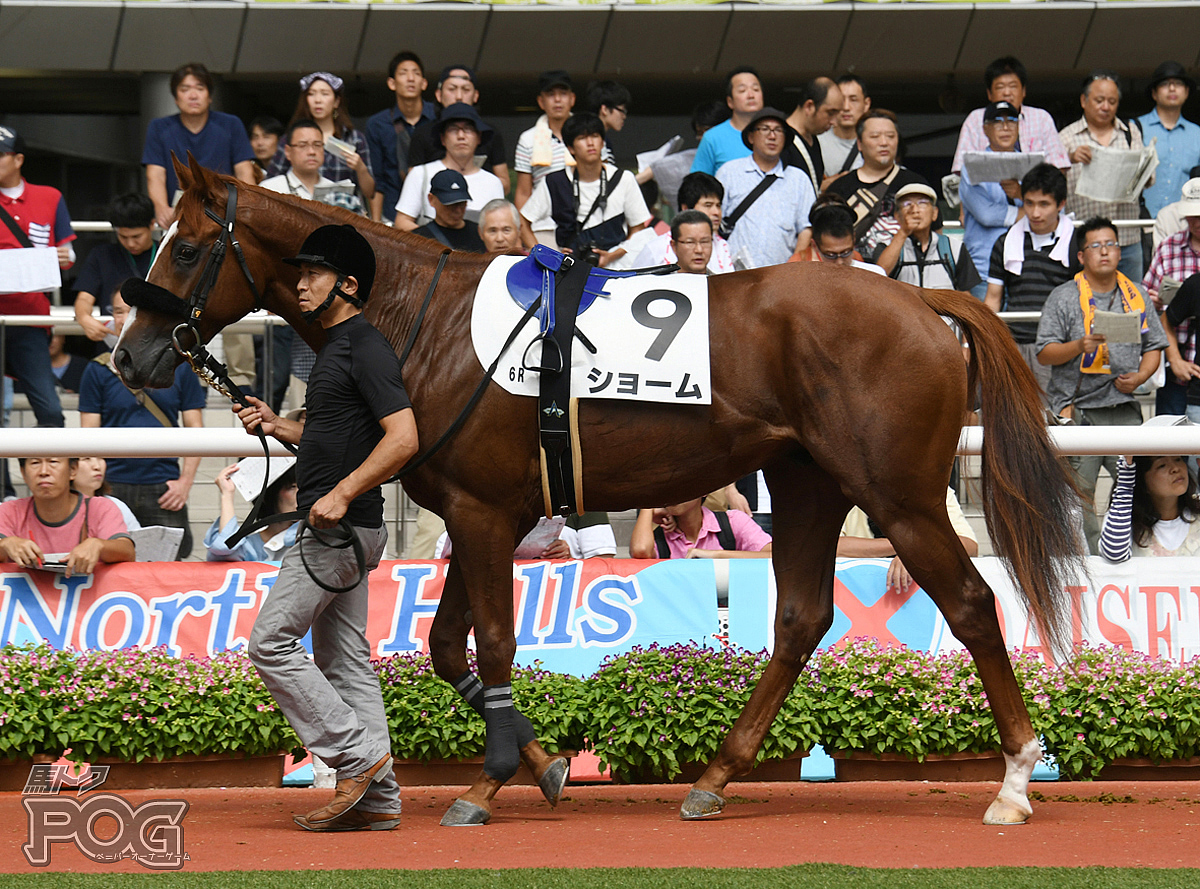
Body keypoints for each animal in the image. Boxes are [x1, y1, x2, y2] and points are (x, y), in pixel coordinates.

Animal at [117, 158, 1084, 825]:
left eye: (190, 246)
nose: (131, 356)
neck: (421, 320)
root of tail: (926, 306)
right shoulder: (481, 509)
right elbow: (447, 646)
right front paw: (540, 765)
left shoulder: (482, 512)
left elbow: (493, 643)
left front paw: (486, 784)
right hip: (808, 481)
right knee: (801, 617)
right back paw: (714, 776)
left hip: (899, 496)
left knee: (970, 602)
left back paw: (1013, 781)